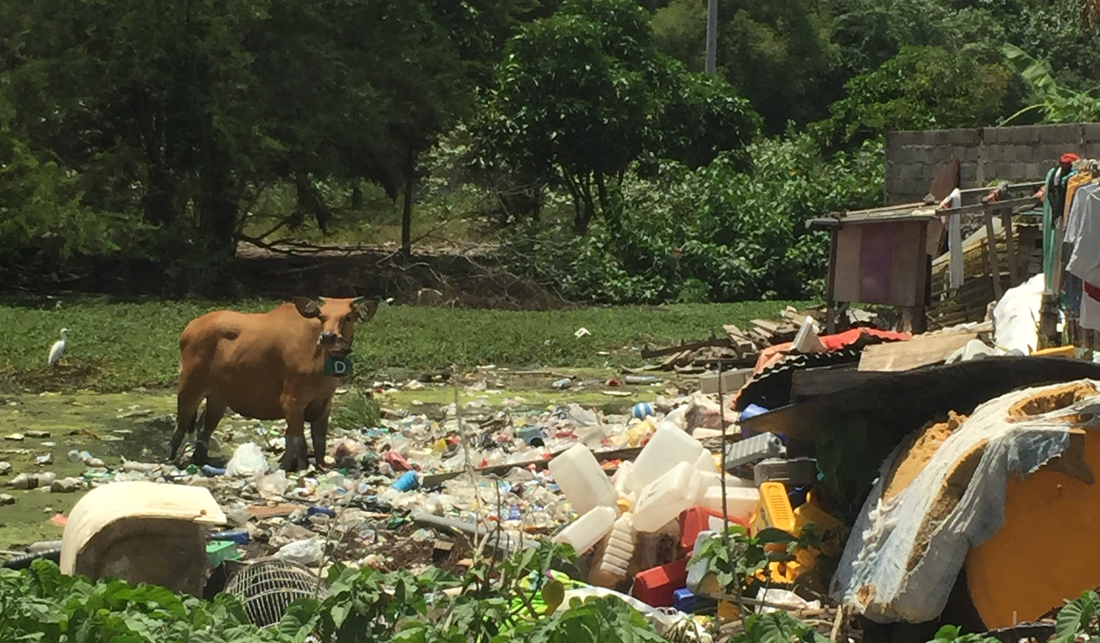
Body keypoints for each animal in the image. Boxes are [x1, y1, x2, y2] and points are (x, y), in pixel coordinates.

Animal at [169, 296, 378, 470]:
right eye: (321, 315)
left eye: (348, 317)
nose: (328, 336)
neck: (319, 361)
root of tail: (190, 327)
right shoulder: (291, 401)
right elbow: (298, 441)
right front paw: (301, 468)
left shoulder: (324, 403)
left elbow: (318, 441)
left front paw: (316, 466)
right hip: (189, 388)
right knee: (180, 427)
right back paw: (172, 460)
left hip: (217, 398)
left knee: (204, 427)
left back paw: (201, 459)